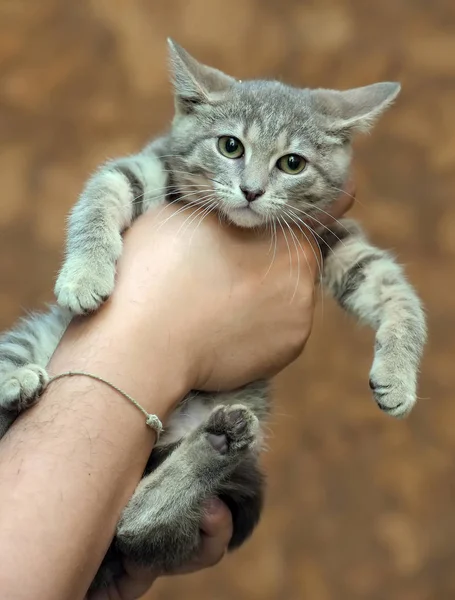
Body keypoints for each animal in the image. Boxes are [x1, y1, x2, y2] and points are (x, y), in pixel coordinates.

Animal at [0, 42, 428, 592]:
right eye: (230, 146)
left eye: (292, 163)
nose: (251, 191)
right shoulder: (147, 168)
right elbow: (100, 195)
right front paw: (85, 273)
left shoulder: (332, 239)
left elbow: (396, 294)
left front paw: (398, 376)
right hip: (32, 339)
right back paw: (17, 383)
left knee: (136, 530)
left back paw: (216, 445)